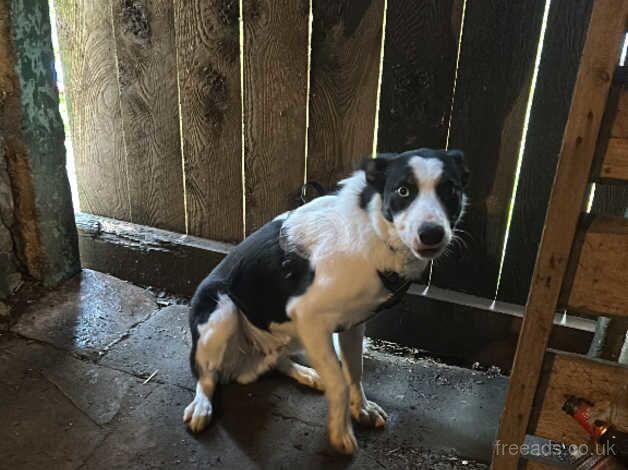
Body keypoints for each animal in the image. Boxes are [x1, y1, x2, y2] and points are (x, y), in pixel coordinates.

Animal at [182, 149, 466, 454]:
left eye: (451, 190)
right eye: (403, 191)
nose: (432, 233)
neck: (373, 232)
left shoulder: (353, 324)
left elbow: (354, 370)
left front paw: (362, 409)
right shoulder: (310, 319)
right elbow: (340, 382)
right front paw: (340, 432)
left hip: (287, 335)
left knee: (278, 360)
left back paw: (308, 374)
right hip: (221, 314)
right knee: (205, 376)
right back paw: (201, 406)